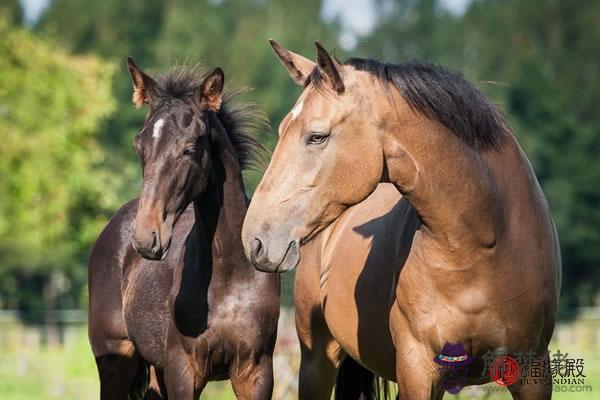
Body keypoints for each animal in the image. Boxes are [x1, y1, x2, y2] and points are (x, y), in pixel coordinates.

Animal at [88, 59, 280, 400]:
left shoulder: (255, 372)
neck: (230, 270)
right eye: (139, 146)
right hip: (115, 360)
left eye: (189, 148)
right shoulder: (183, 370)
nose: (146, 238)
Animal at [241, 41, 560, 400]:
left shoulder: (532, 371)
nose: (255, 239)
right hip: (317, 361)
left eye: (317, 136)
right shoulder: (418, 369)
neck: (486, 237)